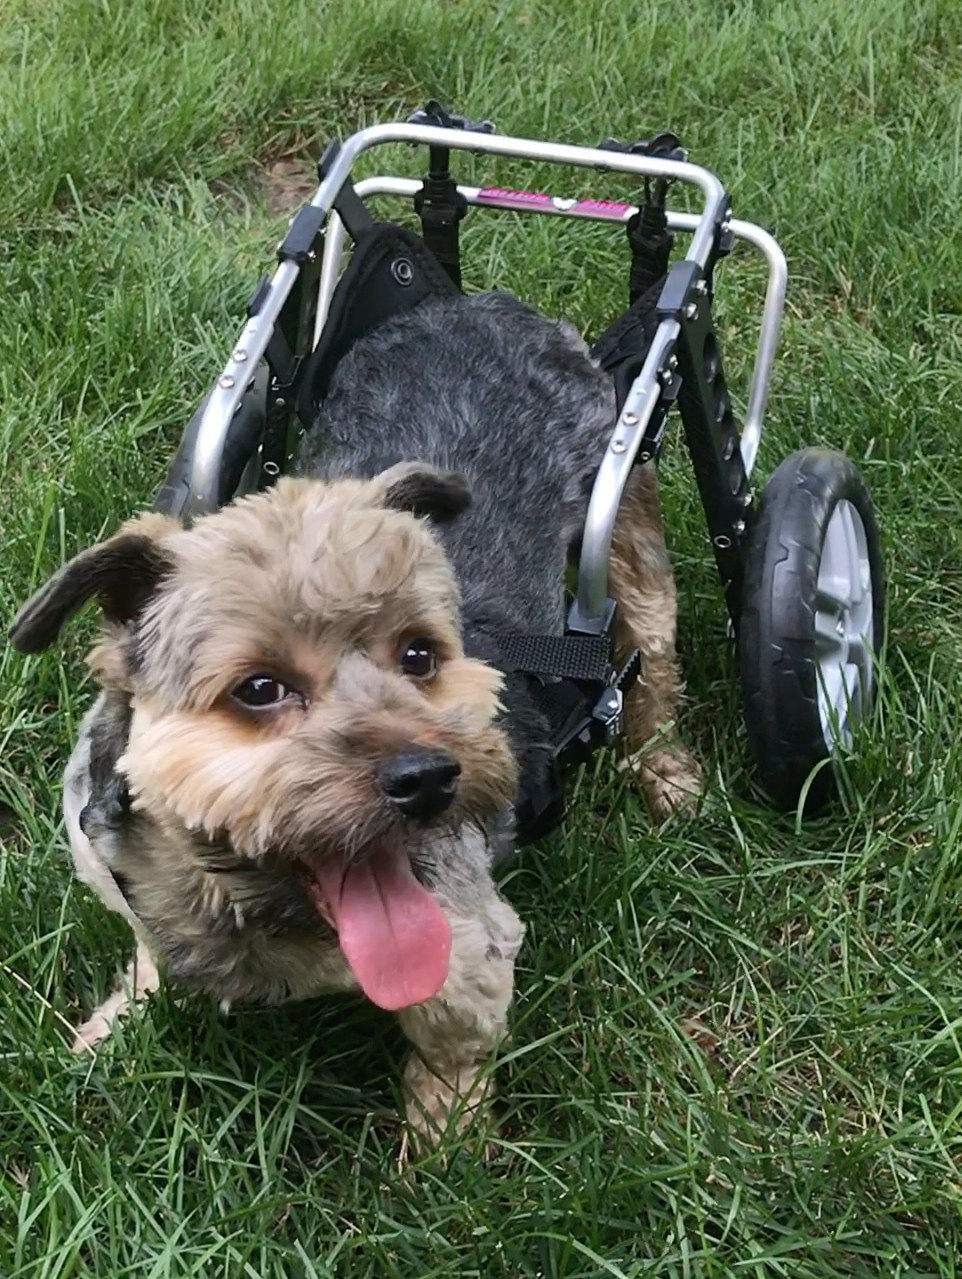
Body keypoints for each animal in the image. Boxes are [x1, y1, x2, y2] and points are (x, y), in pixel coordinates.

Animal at [9, 292, 701, 1151]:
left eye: (420, 654)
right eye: (260, 687)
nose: (429, 777)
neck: (242, 896)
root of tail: (488, 302)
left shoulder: (466, 941)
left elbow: (451, 1045)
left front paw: (445, 1147)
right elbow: (146, 952)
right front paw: (116, 1021)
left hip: (628, 485)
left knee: (651, 645)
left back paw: (665, 768)